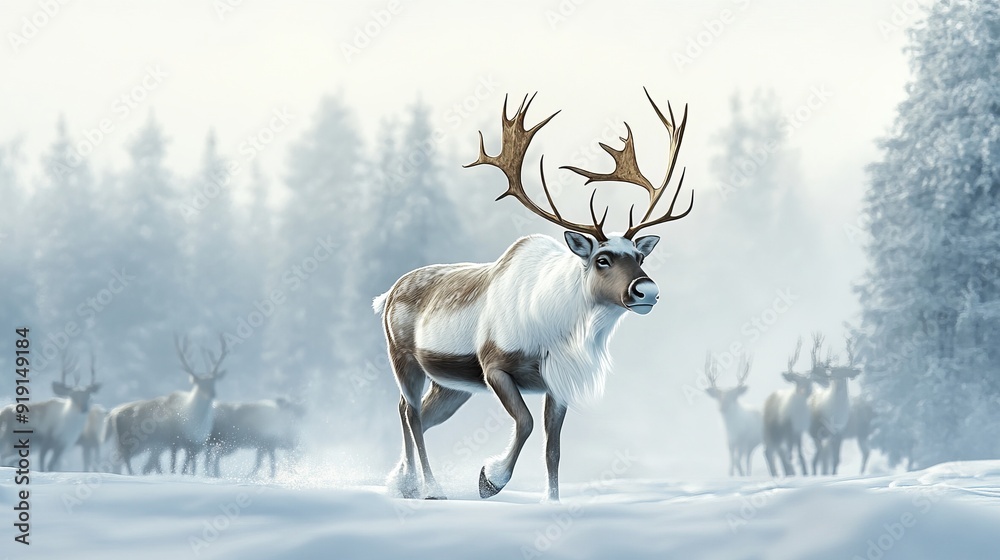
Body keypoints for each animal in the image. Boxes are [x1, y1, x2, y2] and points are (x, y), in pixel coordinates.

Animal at [107, 334, 228, 475]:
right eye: (200, 384)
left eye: (213, 381)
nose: (213, 393)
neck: (195, 422)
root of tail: (113, 414)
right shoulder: (174, 440)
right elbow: (174, 465)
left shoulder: (194, 444)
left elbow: (188, 466)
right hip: (130, 440)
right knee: (123, 458)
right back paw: (131, 474)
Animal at [373, 90, 693, 501]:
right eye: (602, 259)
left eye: (639, 256)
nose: (646, 290)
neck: (562, 331)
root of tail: (387, 294)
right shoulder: (494, 366)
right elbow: (524, 423)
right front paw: (490, 479)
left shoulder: (558, 383)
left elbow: (552, 448)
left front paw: (552, 500)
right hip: (404, 359)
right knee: (411, 412)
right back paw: (429, 487)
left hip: (452, 385)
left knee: (416, 415)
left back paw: (403, 482)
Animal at [762, 338, 817, 477]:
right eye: (796, 381)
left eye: (809, 382)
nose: (803, 391)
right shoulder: (788, 430)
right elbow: (790, 454)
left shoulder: (798, 431)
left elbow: (800, 453)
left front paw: (805, 472)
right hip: (773, 432)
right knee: (768, 451)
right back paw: (776, 474)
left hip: (779, 435)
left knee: (774, 452)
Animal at [809, 334, 861, 475]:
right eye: (834, 373)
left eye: (845, 372)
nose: (839, 384)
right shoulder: (822, 431)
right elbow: (822, 458)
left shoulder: (840, 432)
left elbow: (836, 459)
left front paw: (834, 474)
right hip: (813, 432)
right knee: (816, 458)